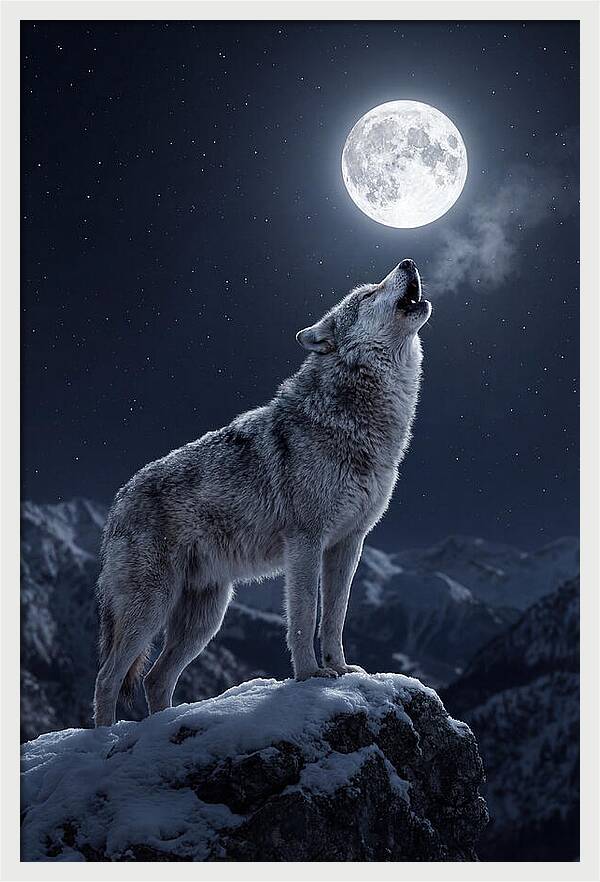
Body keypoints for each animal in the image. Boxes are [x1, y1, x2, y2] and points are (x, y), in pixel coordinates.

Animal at [93, 258, 431, 726]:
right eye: (367, 293)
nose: (408, 262)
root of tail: (117, 502)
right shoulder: (306, 542)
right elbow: (305, 616)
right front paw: (310, 676)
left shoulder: (348, 543)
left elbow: (335, 617)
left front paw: (341, 669)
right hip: (150, 609)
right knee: (107, 678)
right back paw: (104, 738)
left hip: (206, 617)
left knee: (154, 679)